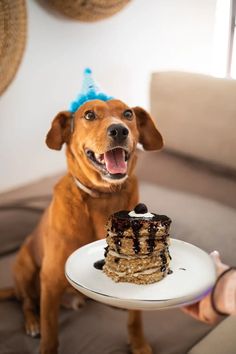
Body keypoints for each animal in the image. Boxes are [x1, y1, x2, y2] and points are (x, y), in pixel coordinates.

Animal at [0, 99, 163, 354]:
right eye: (89, 115)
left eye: (128, 114)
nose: (119, 130)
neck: (103, 198)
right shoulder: (51, 278)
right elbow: (50, 331)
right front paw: (46, 340)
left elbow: (135, 318)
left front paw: (139, 344)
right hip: (24, 267)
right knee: (27, 302)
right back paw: (32, 322)